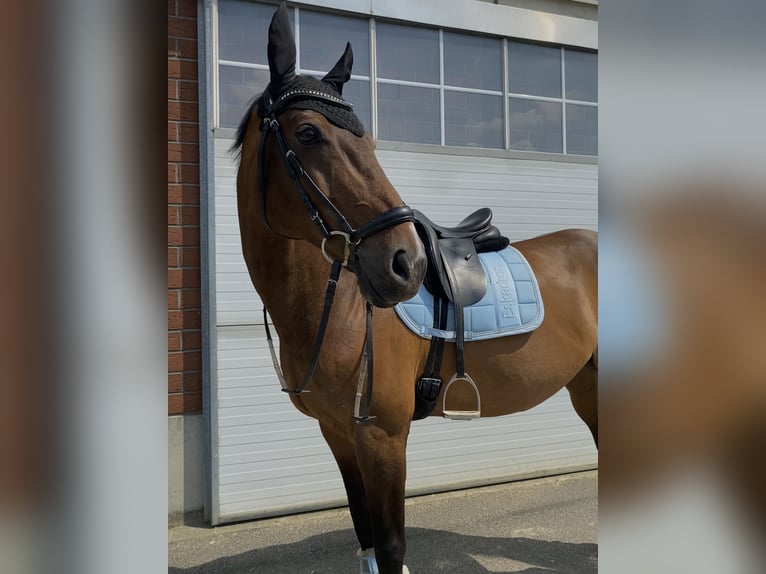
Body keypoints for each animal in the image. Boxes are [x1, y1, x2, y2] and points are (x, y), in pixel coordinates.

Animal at [234, 6, 598, 573]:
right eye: (309, 132)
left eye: (368, 141)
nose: (405, 263)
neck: (333, 308)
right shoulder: (338, 435)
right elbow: (366, 536)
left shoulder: (383, 435)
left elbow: (390, 544)